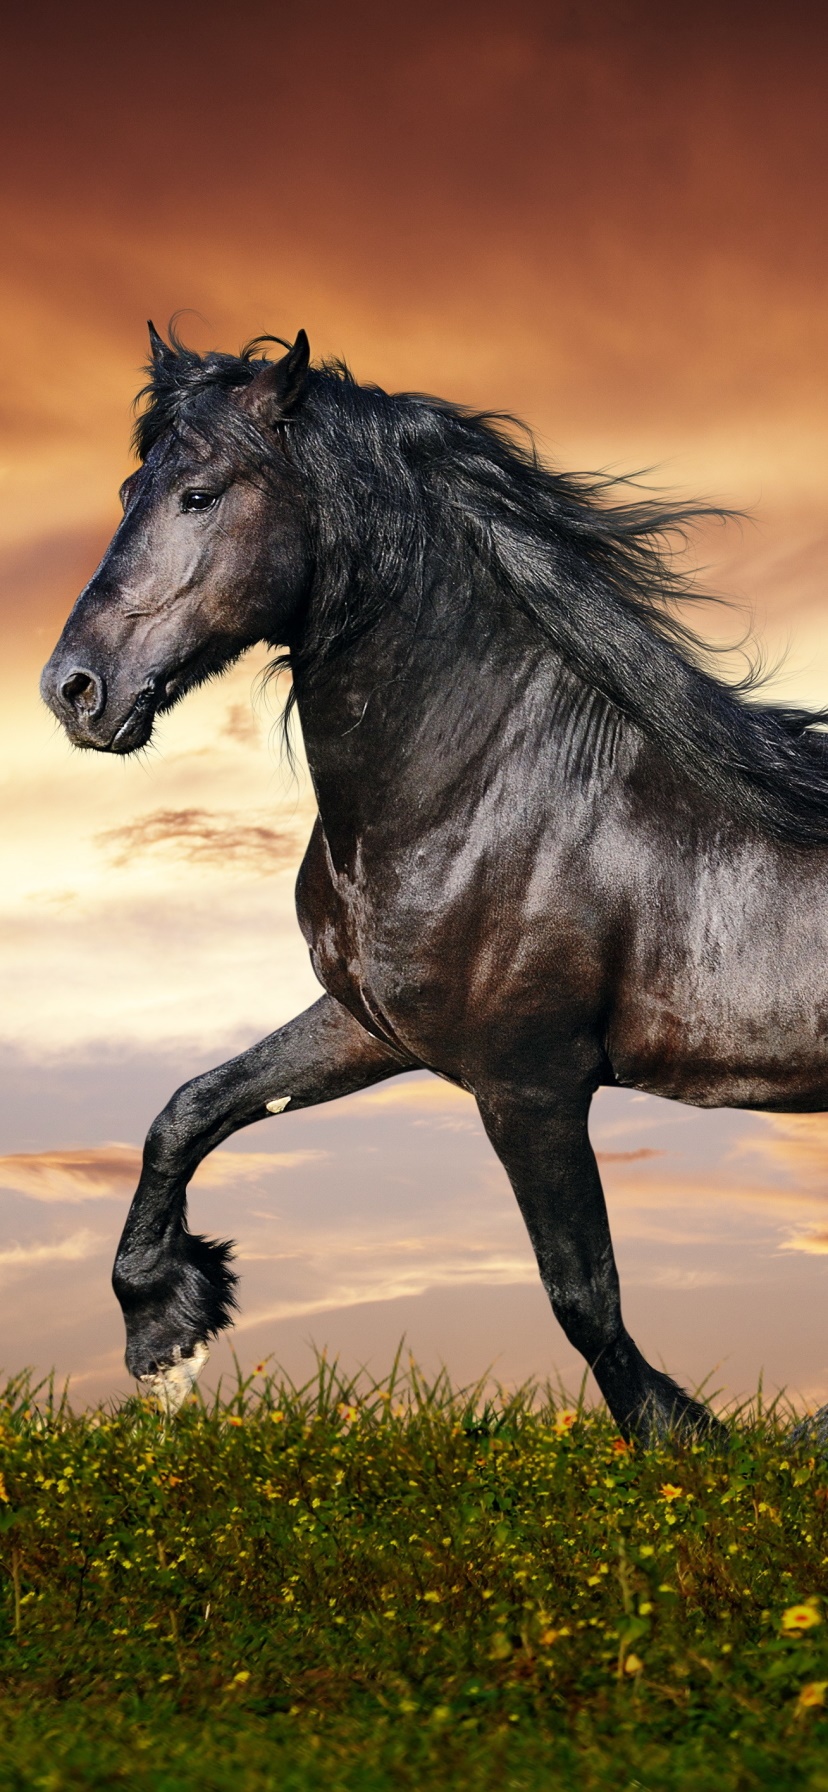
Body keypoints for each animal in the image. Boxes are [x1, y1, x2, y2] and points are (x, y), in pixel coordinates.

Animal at [40, 323, 828, 1441]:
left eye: (198, 494)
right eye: (125, 490)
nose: (72, 689)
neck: (488, 790)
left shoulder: (530, 1083)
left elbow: (582, 1293)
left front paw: (684, 1437)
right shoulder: (371, 1025)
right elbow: (188, 1110)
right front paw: (165, 1330)